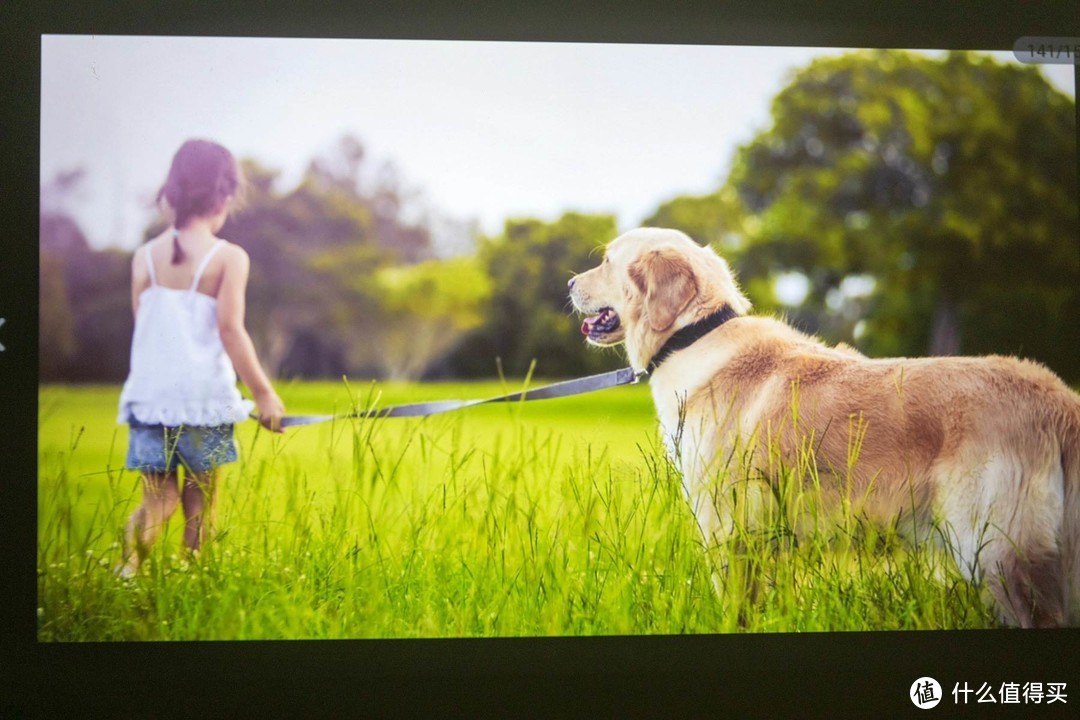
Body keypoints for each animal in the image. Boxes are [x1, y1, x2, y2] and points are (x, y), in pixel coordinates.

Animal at [570, 227, 1075, 626]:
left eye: (607, 261)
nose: (571, 282)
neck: (692, 336)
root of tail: (1058, 399)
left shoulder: (727, 527)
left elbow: (734, 609)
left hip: (995, 552)